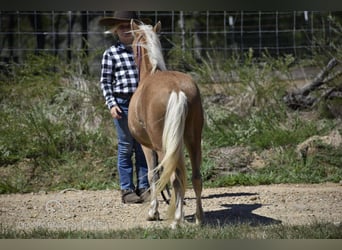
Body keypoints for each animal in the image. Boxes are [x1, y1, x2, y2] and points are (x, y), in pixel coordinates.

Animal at [127, 20, 203, 228]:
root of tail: (177, 89)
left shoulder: (147, 146)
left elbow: (152, 175)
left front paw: (153, 212)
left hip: (162, 146)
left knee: (174, 178)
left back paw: (175, 221)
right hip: (193, 141)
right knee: (195, 177)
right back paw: (199, 219)